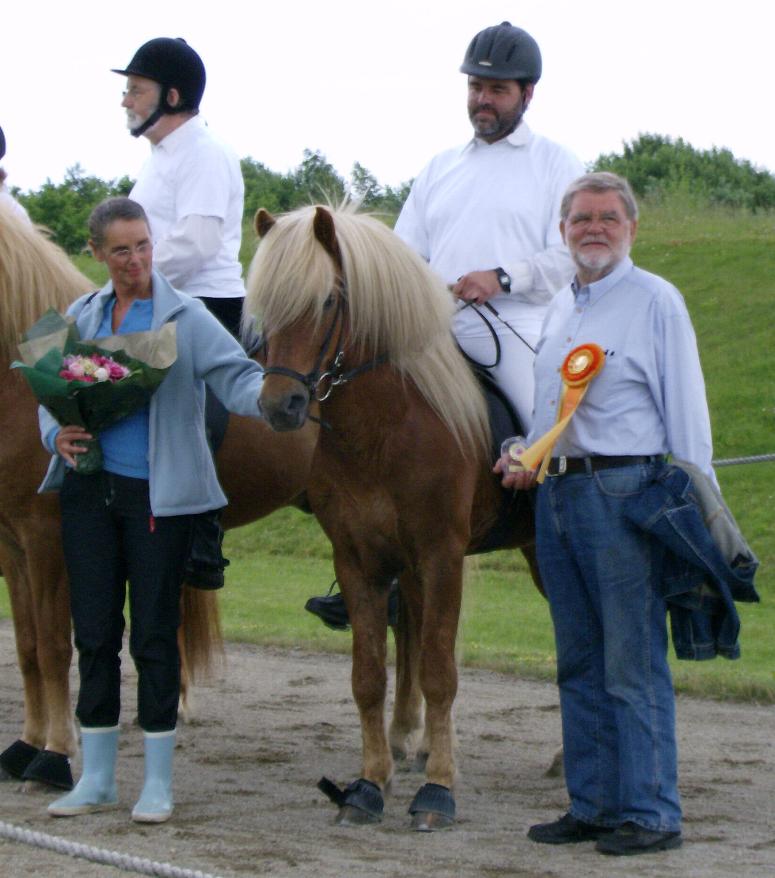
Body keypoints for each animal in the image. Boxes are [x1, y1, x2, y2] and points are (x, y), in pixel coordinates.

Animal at [249, 205, 540, 832]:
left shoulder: (441, 555)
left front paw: (438, 790)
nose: (280, 407)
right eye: (264, 304)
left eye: (328, 300)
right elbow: (370, 673)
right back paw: (412, 737)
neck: (384, 428)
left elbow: (439, 670)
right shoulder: (359, 558)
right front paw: (370, 783)